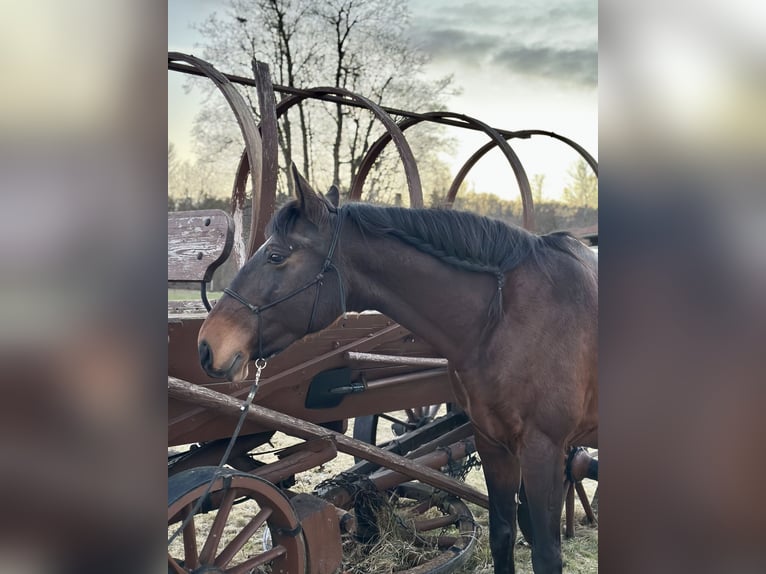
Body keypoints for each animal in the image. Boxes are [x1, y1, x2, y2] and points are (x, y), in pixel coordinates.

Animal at [201, 164, 604, 572]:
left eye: (276, 256)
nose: (208, 344)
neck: (508, 316)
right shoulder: (494, 444)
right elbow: (502, 536)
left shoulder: (543, 450)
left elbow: (546, 554)